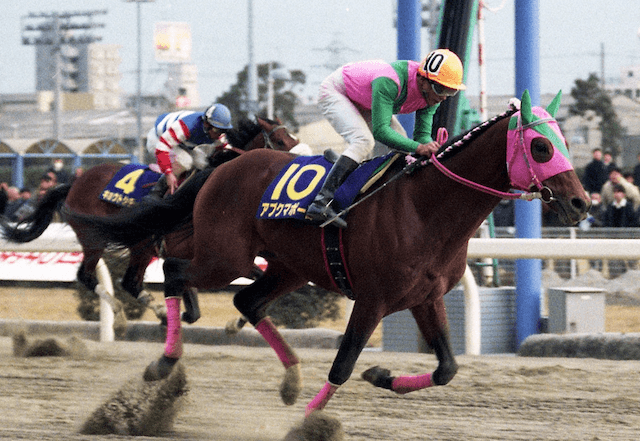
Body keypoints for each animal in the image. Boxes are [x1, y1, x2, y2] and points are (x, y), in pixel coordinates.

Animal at [0, 117, 302, 326]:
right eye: (282, 141)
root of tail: (75, 182)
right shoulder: (213, 254)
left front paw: (233, 319)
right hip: (95, 239)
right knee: (87, 276)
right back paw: (121, 313)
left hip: (141, 247)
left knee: (130, 282)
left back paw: (155, 312)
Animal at [62, 90, 588, 420]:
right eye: (542, 146)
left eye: (564, 141)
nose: (581, 203)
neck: (424, 209)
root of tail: (223, 166)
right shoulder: (373, 299)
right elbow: (342, 364)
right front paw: (308, 424)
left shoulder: (426, 297)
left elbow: (446, 368)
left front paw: (381, 373)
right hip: (225, 256)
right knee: (174, 269)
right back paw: (165, 360)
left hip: (288, 266)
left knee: (245, 300)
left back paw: (290, 379)